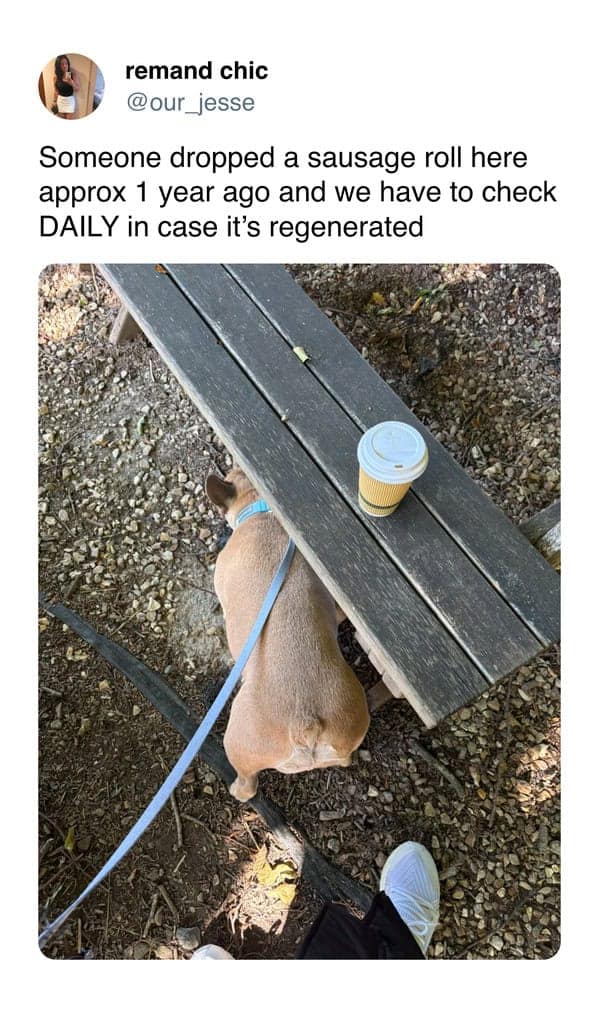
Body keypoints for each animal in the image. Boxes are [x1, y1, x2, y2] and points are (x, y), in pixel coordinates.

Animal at [205, 468, 370, 801]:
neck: (262, 509)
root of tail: (305, 724)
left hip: (240, 743)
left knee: (248, 784)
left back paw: (237, 789)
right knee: (345, 756)